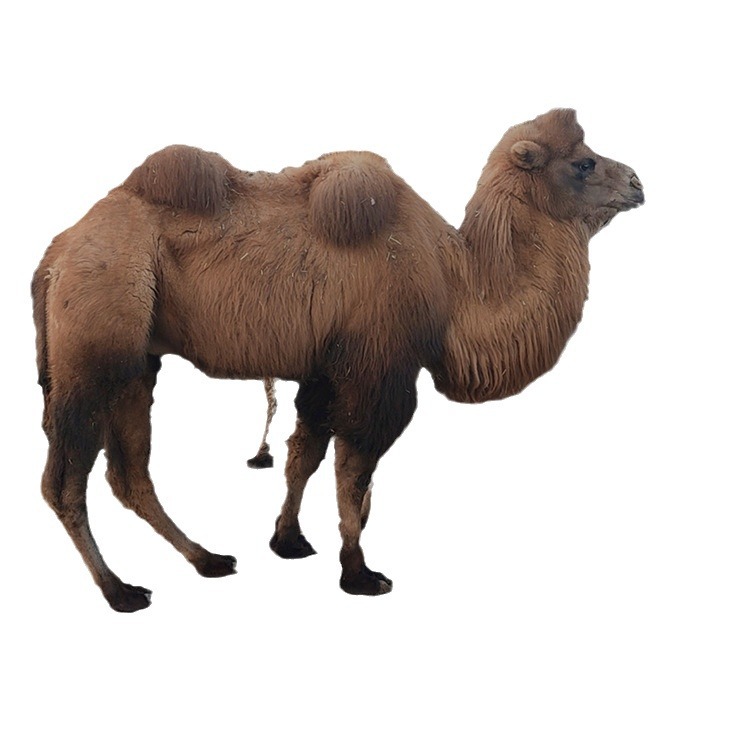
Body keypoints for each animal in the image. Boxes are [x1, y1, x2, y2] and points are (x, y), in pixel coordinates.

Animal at [32, 109, 644, 612]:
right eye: (584, 163)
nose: (638, 182)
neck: (455, 283)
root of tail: (58, 251)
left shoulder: (327, 367)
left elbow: (304, 454)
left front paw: (288, 541)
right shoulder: (379, 368)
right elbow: (355, 475)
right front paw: (360, 574)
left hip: (139, 361)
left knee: (129, 473)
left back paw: (208, 560)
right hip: (95, 342)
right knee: (64, 479)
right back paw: (120, 591)